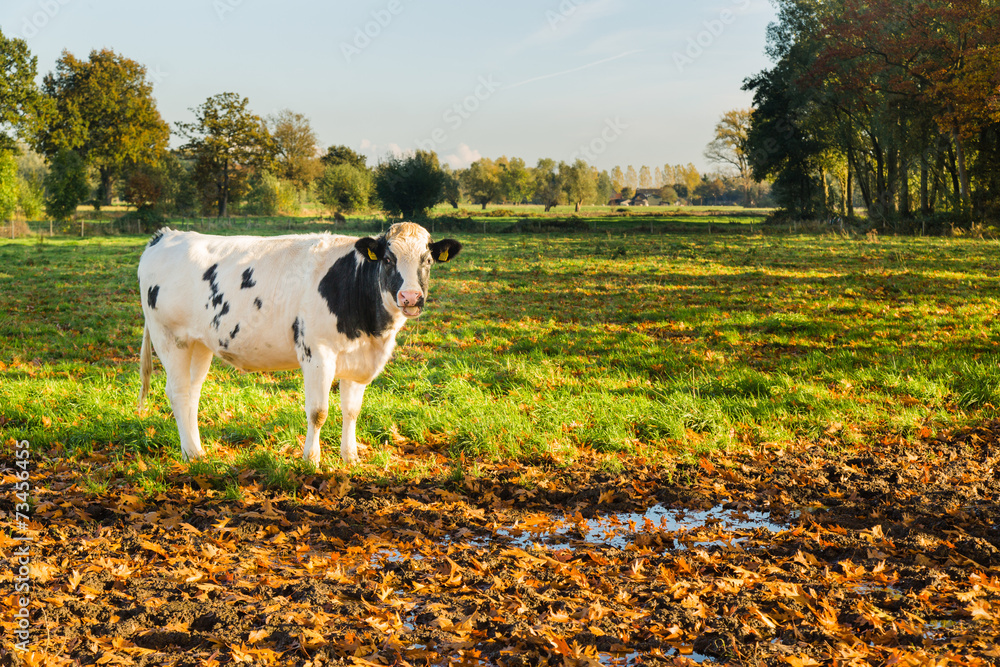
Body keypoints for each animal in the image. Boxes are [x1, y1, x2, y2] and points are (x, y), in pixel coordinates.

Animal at [136, 223, 460, 464]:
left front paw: (350, 457)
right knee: (178, 392)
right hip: (170, 338)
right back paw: (191, 454)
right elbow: (318, 412)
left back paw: (196, 450)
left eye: (427, 260)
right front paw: (311, 459)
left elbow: (351, 410)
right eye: (388, 259)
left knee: (192, 393)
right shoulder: (317, 353)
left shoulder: (358, 359)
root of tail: (165, 236)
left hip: (199, 343)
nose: (411, 298)